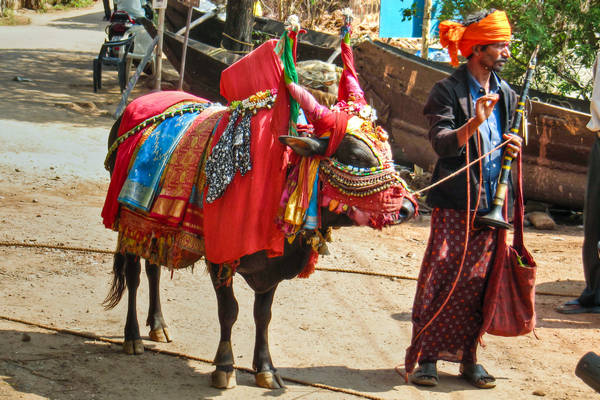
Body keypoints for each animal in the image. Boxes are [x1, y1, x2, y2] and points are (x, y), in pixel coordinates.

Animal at [99, 14, 418, 390]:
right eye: (355, 156)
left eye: (387, 151)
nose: (408, 207)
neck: (278, 182)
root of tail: (135, 106)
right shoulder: (220, 256)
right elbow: (230, 311)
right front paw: (224, 367)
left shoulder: (271, 270)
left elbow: (262, 315)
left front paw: (265, 368)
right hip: (126, 222)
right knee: (134, 274)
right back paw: (133, 336)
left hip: (156, 225)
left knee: (153, 266)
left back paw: (159, 325)